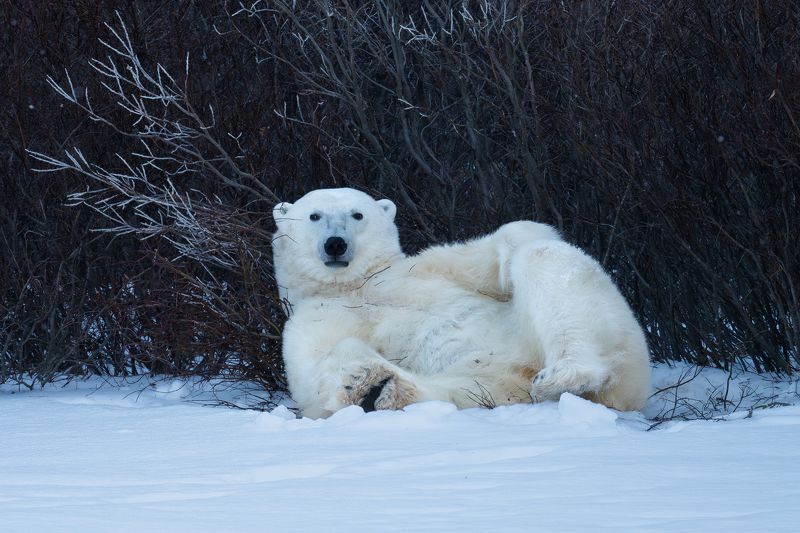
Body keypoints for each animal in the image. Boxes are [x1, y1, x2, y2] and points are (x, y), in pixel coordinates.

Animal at [272, 188, 651, 419]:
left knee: (549, 262)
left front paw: (510, 253)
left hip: (614, 335)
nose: (335, 244)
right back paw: (383, 387)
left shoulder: (419, 270)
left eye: (357, 215)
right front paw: (354, 380)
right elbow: (311, 375)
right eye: (314, 216)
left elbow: (504, 245)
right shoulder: (313, 316)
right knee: (456, 391)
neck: (356, 286)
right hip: (493, 381)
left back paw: (567, 373)